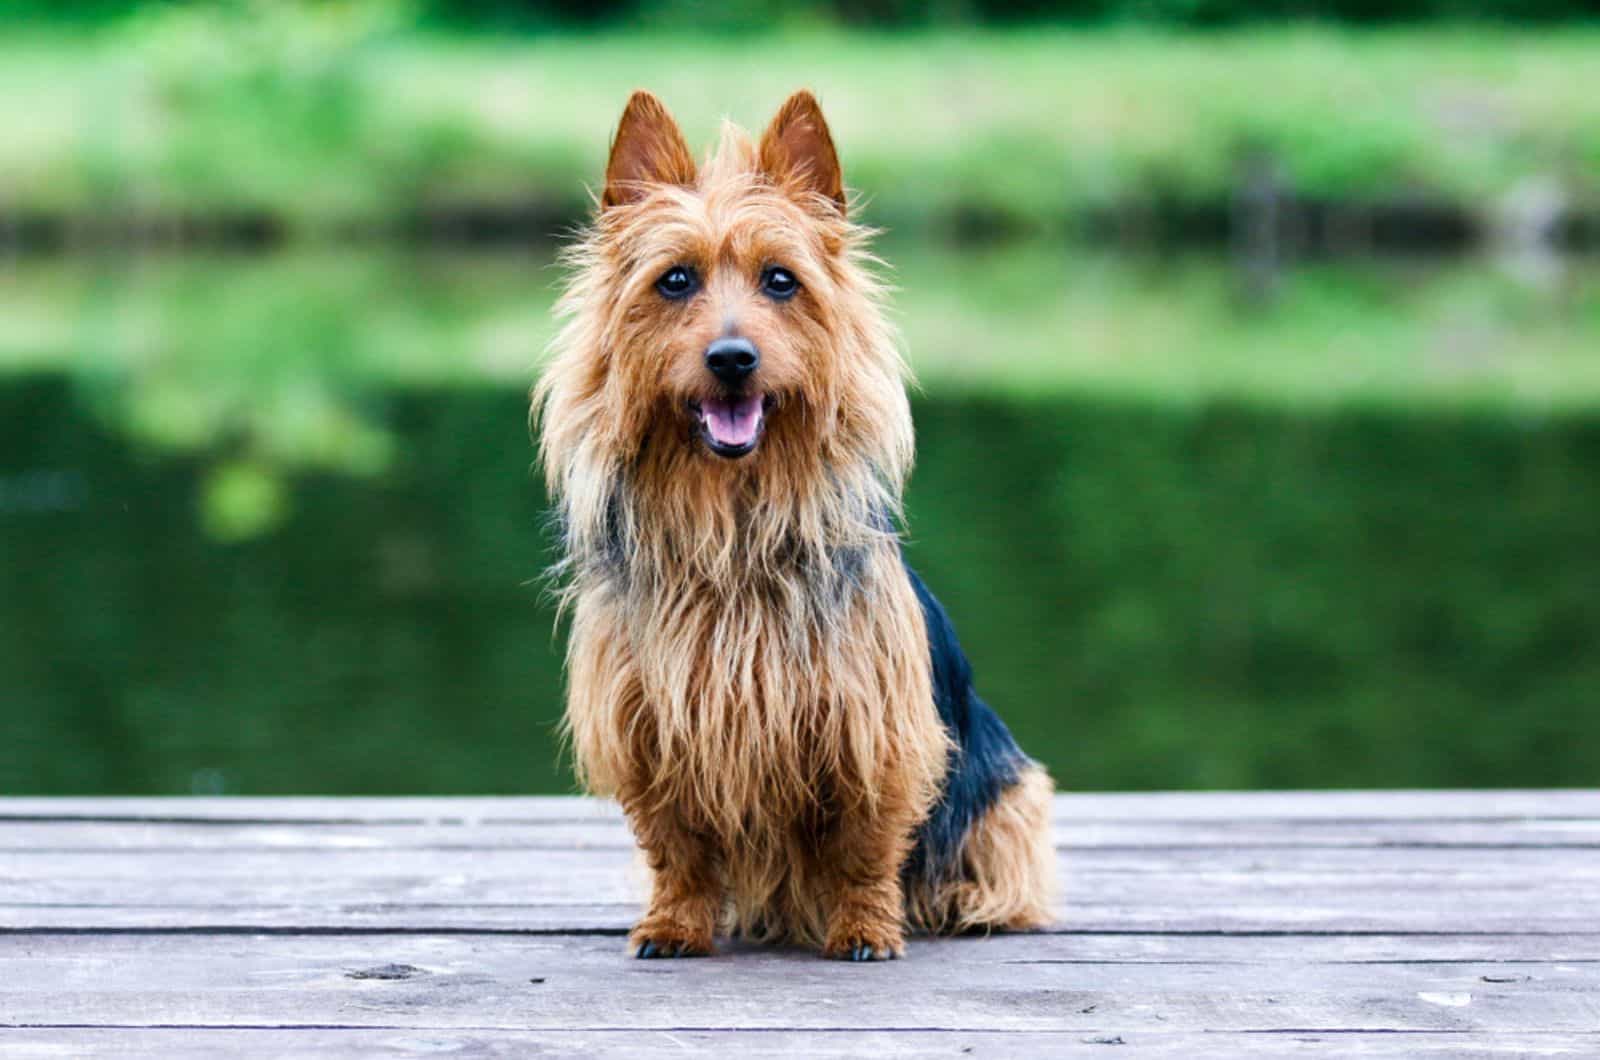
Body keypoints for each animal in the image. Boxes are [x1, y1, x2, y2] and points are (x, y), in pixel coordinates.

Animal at [537, 87, 1056, 960]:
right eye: (675, 281)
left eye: (781, 281)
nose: (732, 358)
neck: (732, 522)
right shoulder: (646, 722)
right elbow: (674, 844)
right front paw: (674, 923)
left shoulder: (872, 723)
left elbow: (865, 840)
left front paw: (865, 927)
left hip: (1011, 795)